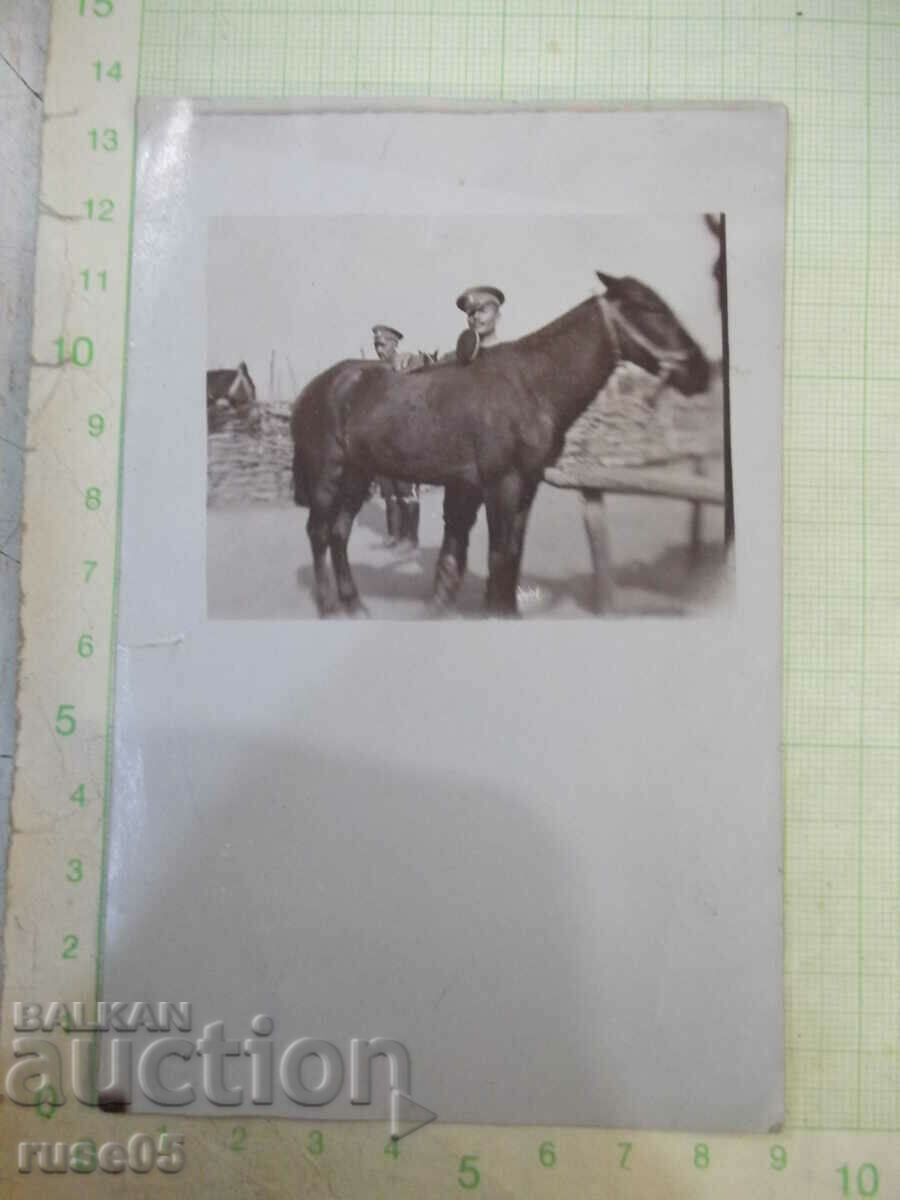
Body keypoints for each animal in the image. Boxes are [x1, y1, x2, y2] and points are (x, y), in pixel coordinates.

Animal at [292, 273, 710, 619]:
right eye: (649, 308)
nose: (702, 370)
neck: (530, 385)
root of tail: (316, 387)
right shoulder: (502, 484)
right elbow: (500, 552)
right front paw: (497, 612)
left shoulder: (527, 486)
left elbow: (513, 553)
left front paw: (506, 609)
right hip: (328, 475)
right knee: (318, 532)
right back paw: (329, 605)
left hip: (357, 476)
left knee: (339, 533)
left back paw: (354, 603)